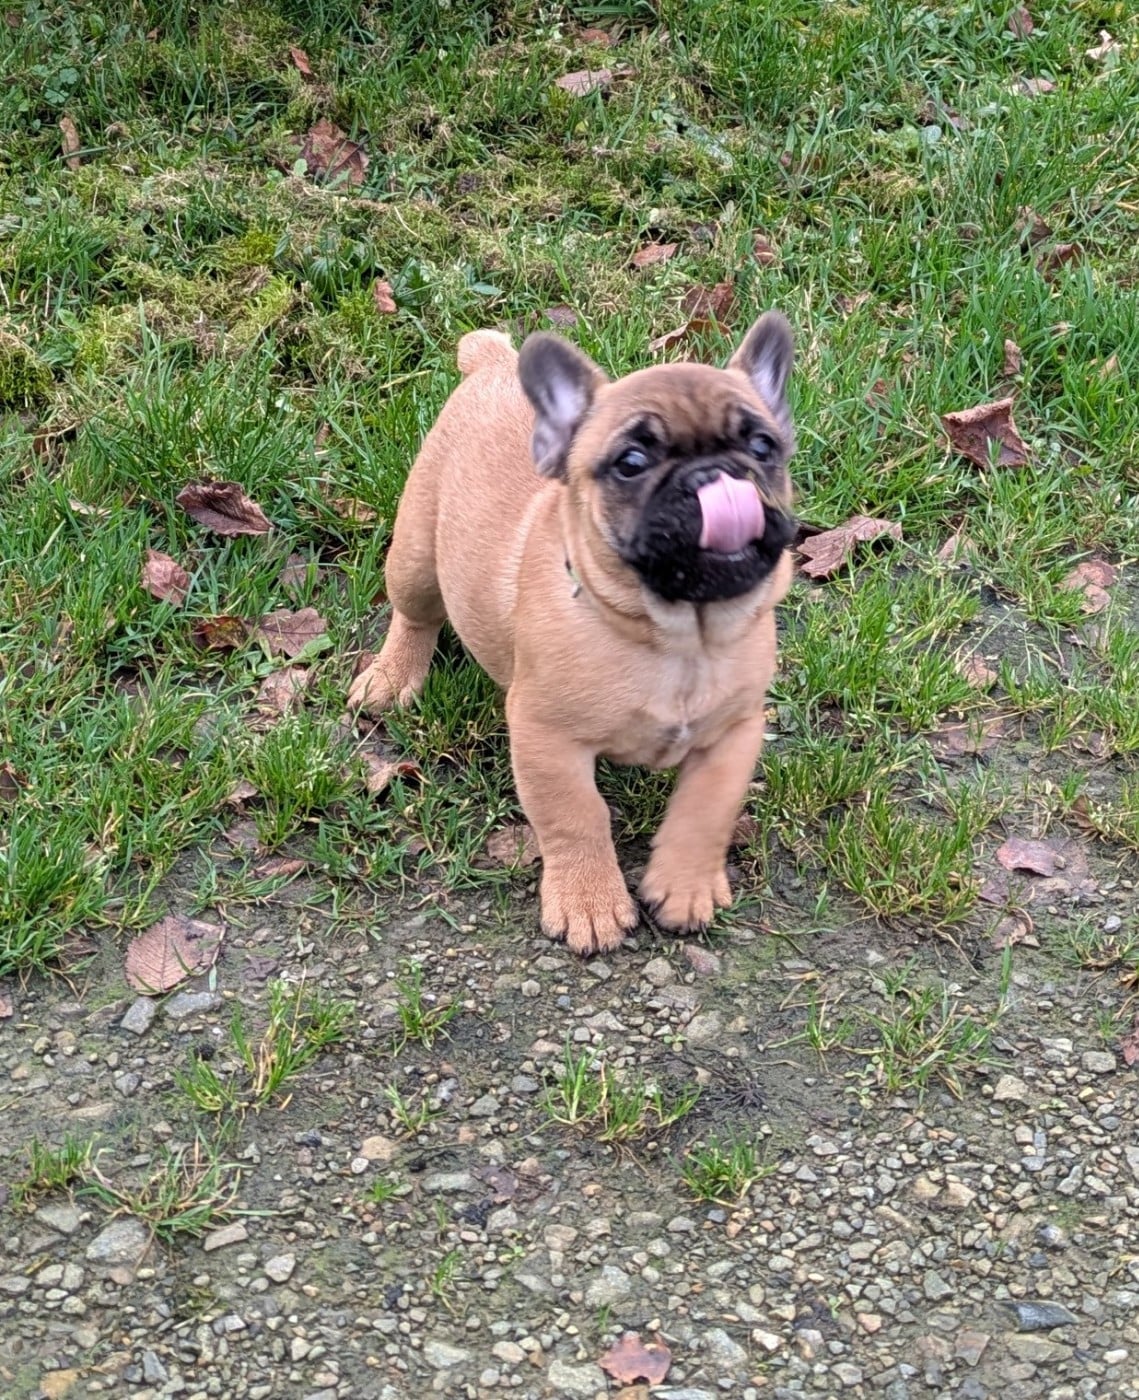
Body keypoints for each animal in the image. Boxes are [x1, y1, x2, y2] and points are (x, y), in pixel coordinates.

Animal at [348, 312, 797, 955]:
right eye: (630, 462)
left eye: (763, 446)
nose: (715, 474)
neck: (679, 638)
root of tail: (492, 364)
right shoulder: (547, 737)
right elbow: (576, 815)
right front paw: (590, 902)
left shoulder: (734, 733)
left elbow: (706, 810)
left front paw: (685, 886)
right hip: (415, 552)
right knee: (416, 614)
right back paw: (391, 679)